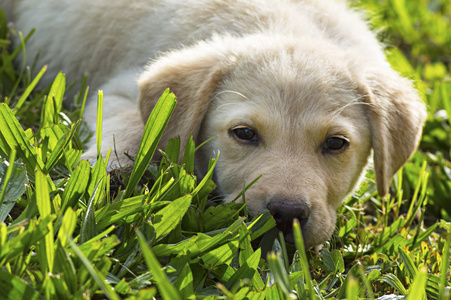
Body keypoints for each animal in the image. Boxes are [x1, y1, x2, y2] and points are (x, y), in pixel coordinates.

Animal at [4, 0, 428, 248]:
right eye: (244, 134)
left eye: (336, 143)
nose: (286, 214)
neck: (286, 27)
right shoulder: (119, 90)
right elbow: (131, 127)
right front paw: (108, 174)